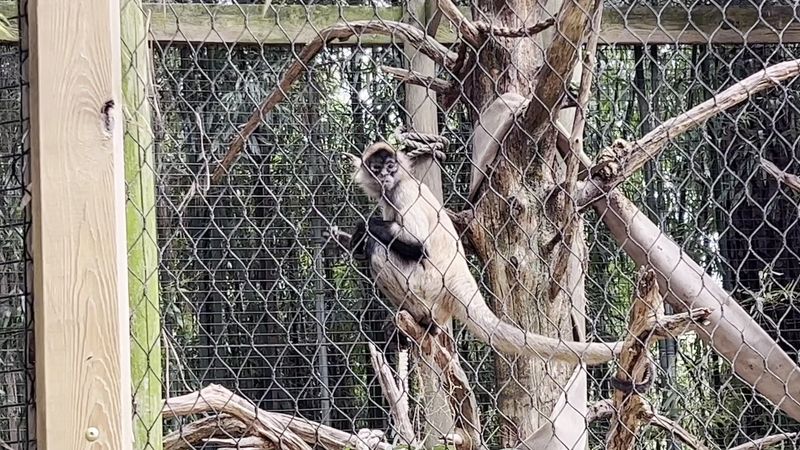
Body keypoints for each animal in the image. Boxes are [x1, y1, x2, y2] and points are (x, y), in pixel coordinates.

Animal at [345, 141, 625, 366]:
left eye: (391, 166)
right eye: (376, 168)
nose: (385, 176)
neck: (397, 185)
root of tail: (459, 276)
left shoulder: (403, 191)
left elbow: (418, 245)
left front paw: (363, 228)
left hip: (426, 285)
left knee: (378, 249)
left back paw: (425, 322)